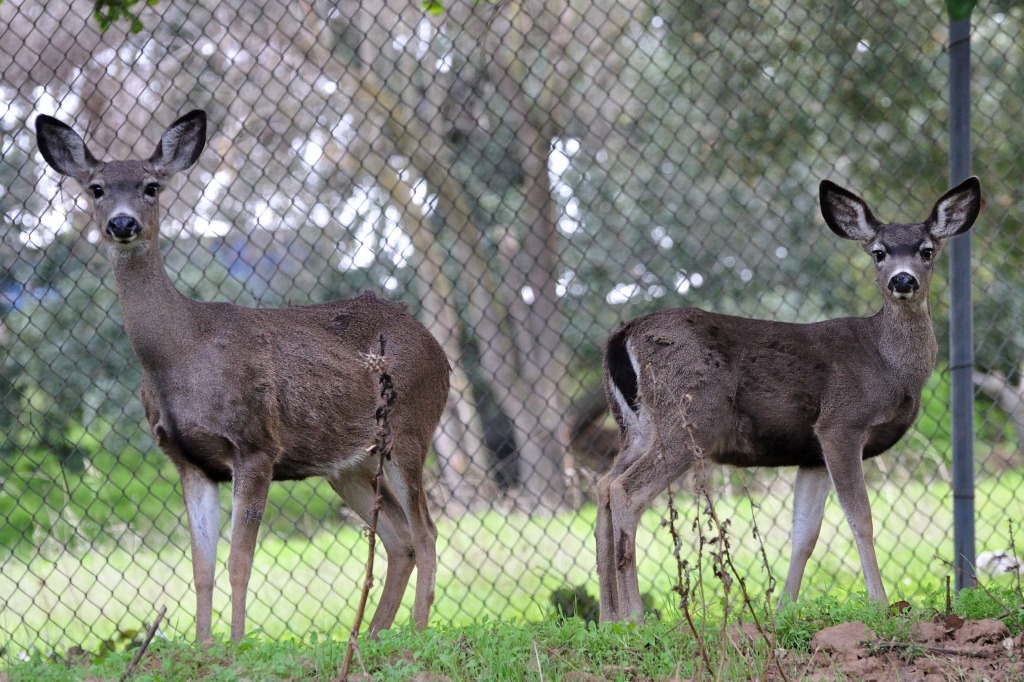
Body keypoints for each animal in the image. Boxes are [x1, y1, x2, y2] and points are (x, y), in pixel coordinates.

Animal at [36, 109, 452, 638]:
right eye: (95, 188)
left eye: (151, 186)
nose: (122, 223)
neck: (181, 355)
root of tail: (438, 349)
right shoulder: (187, 459)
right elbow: (201, 567)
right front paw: (204, 646)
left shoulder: (255, 444)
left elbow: (239, 562)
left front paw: (234, 643)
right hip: (347, 463)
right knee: (400, 539)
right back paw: (371, 636)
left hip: (410, 428)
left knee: (427, 530)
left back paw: (415, 632)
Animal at [598, 175, 978, 622]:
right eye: (879, 253)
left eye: (927, 250)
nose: (903, 281)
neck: (887, 362)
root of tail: (622, 337)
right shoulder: (840, 423)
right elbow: (861, 517)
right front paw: (881, 603)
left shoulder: (810, 453)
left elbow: (805, 535)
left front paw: (783, 610)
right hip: (691, 418)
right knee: (626, 490)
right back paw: (635, 618)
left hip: (637, 428)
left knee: (603, 485)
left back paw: (608, 619)